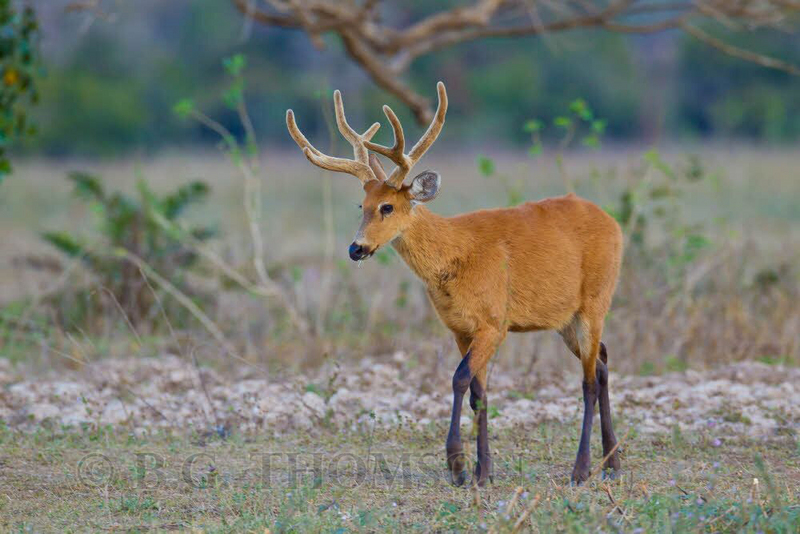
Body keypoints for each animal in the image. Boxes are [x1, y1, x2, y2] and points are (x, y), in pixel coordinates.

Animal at [286, 81, 624, 488]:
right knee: (602, 362)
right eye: (361, 206)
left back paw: (581, 469)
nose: (356, 248)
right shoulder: (460, 328)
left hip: (595, 300)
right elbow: (480, 392)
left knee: (588, 380)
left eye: (387, 206)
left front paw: (458, 465)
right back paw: (613, 462)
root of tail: (614, 223)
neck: (456, 255)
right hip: (565, 319)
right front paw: (483, 471)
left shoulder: (494, 322)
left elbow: (459, 379)